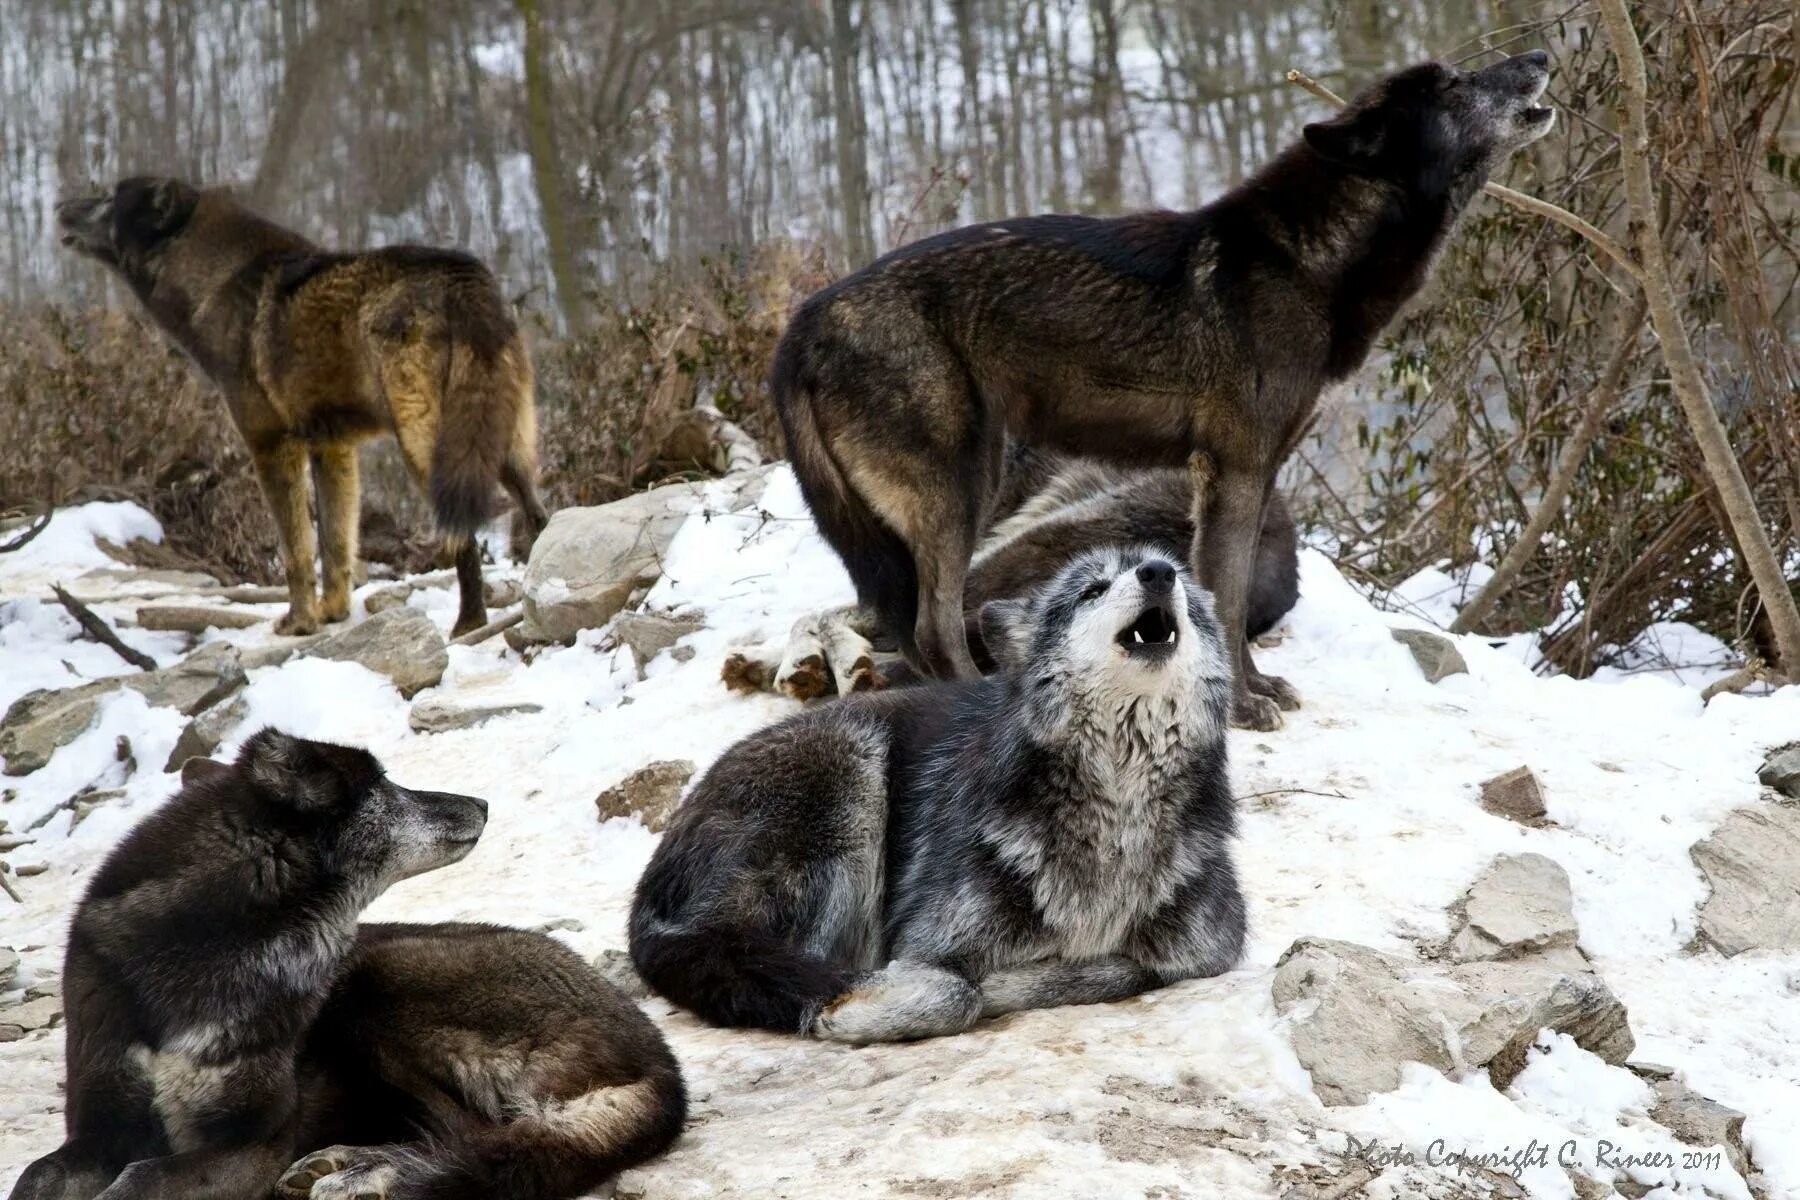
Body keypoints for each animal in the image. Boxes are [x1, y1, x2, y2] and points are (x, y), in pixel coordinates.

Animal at [8, 726, 680, 1200]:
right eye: (383, 785)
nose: (483, 803)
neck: (196, 960)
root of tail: (661, 1062)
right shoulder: (98, 1133)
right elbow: (34, 1178)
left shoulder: (257, 1143)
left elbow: (137, 1178)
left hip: (376, 979)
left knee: (477, 1137)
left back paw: (364, 1174)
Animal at [56, 176, 547, 636]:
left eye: (108, 199)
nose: (59, 206)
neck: (216, 278)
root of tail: (462, 280)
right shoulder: (332, 449)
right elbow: (335, 544)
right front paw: (333, 613)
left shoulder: (271, 446)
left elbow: (296, 550)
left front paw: (300, 621)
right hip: (504, 451)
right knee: (539, 516)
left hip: (430, 453)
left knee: (464, 537)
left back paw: (469, 624)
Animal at [630, 550, 1238, 1043]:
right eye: (1092, 589)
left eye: (1182, 583)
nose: (1158, 574)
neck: (1119, 807)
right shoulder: (925, 942)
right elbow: (959, 992)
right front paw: (861, 1007)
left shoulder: (1208, 954)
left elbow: (1131, 968)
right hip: (849, 775)